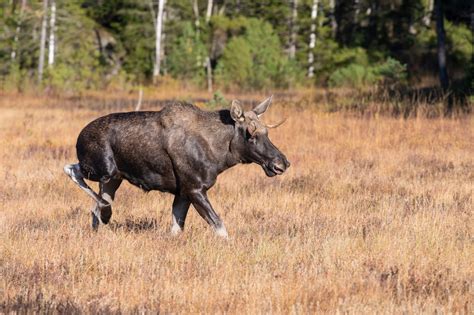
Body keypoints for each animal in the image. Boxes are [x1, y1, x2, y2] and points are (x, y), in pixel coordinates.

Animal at [64, 95, 288, 238]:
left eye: (266, 132)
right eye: (251, 135)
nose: (282, 163)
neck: (221, 154)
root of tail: (78, 136)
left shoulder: (182, 193)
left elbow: (177, 228)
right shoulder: (195, 189)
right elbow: (220, 227)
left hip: (113, 179)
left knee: (94, 208)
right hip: (104, 169)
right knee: (71, 170)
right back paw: (106, 211)